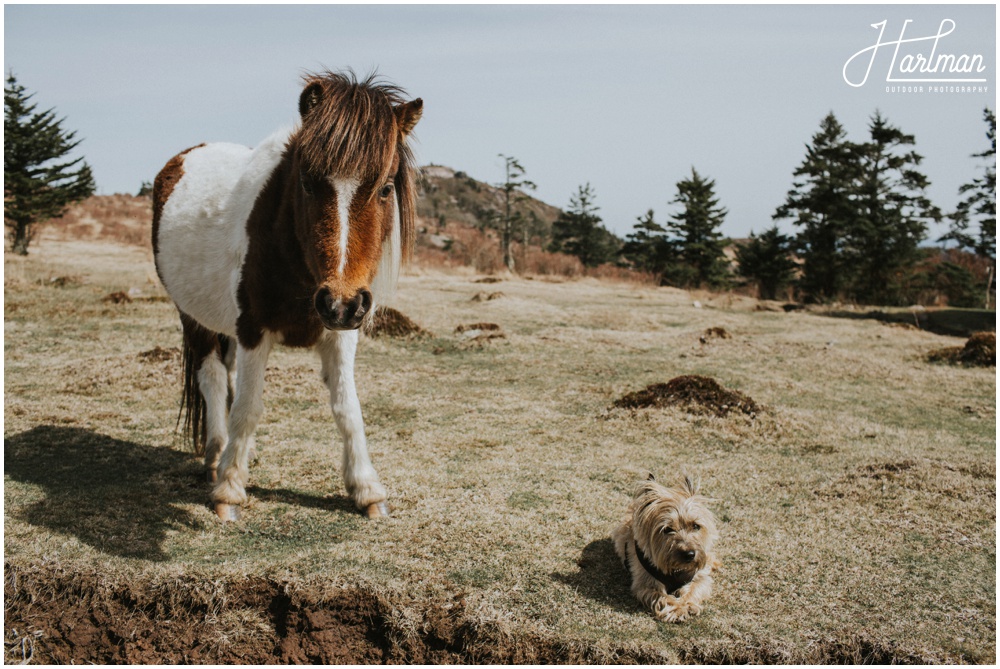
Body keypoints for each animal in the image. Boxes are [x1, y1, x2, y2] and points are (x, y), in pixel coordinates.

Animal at [152, 73, 422, 520]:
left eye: (385, 188)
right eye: (308, 184)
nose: (341, 304)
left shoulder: (340, 334)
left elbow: (348, 409)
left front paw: (367, 490)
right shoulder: (252, 329)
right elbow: (247, 407)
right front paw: (229, 490)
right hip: (193, 317)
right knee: (212, 378)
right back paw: (216, 456)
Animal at [608, 474, 720, 620]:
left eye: (696, 526)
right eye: (667, 529)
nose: (689, 554)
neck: (677, 569)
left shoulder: (700, 578)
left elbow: (694, 588)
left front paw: (686, 604)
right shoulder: (645, 583)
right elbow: (662, 597)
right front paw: (677, 608)